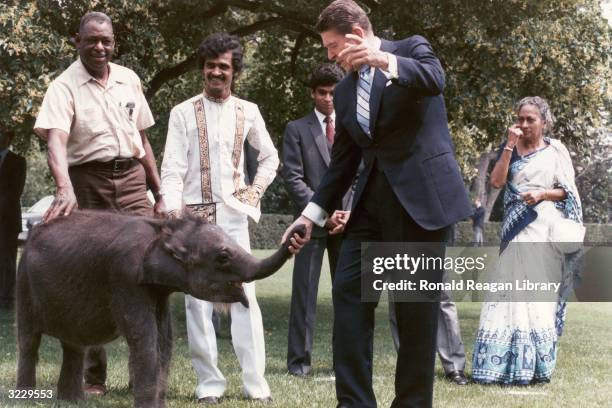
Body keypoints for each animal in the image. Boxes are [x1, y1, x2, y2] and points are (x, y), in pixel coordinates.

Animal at [17, 210, 304, 408]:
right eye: (223, 257)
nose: (298, 230)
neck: (163, 230)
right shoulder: (125, 279)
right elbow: (145, 339)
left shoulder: (158, 290)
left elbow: (164, 341)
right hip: (25, 286)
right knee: (29, 341)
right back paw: (27, 399)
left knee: (74, 345)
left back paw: (73, 401)